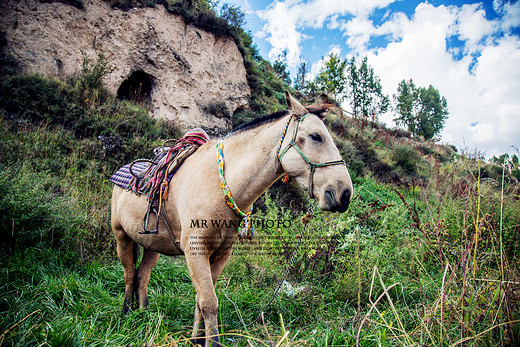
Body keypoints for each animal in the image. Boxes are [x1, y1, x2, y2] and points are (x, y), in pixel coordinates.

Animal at [110, 91, 354, 346]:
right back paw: (126, 313)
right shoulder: (195, 250)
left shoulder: (221, 254)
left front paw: (197, 340)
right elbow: (208, 302)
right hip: (121, 236)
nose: (345, 194)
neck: (220, 185)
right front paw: (211, 341)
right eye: (316, 136)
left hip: (152, 245)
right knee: (129, 273)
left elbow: (200, 300)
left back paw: (142, 312)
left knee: (142, 275)